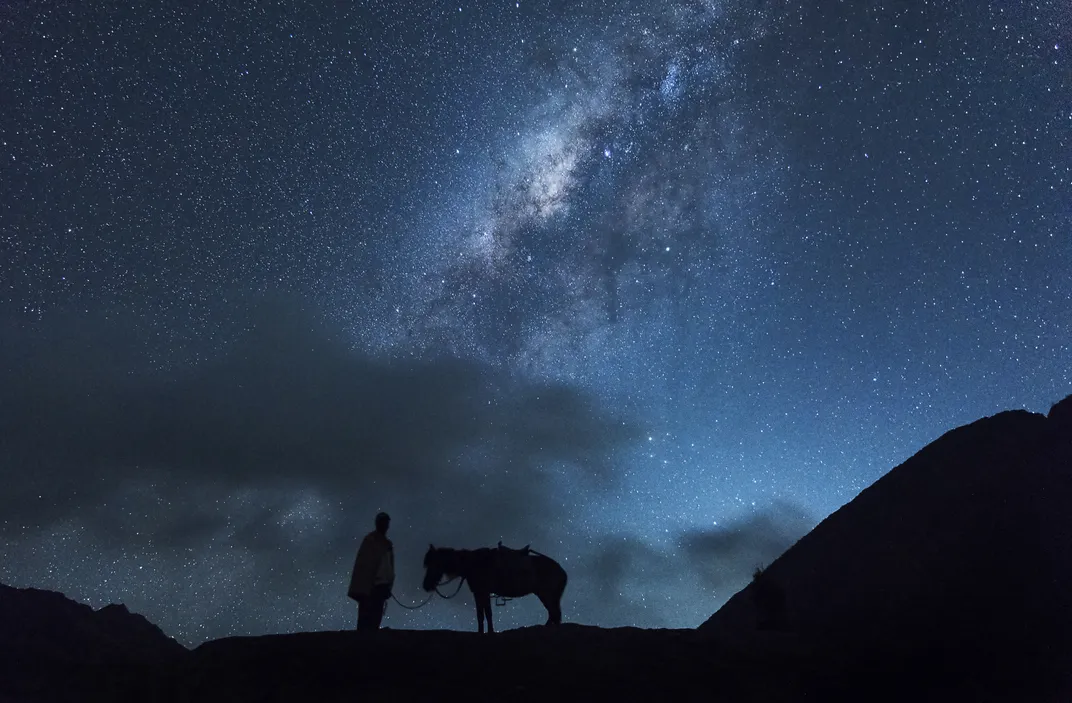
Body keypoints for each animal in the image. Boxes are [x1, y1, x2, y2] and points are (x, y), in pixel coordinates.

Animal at [420, 540, 566, 634]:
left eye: (434, 563)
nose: (426, 585)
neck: (472, 564)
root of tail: (562, 571)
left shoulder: (483, 592)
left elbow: (486, 614)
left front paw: (488, 632)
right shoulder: (479, 593)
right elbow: (482, 615)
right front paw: (483, 632)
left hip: (546, 595)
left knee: (554, 614)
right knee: (553, 615)